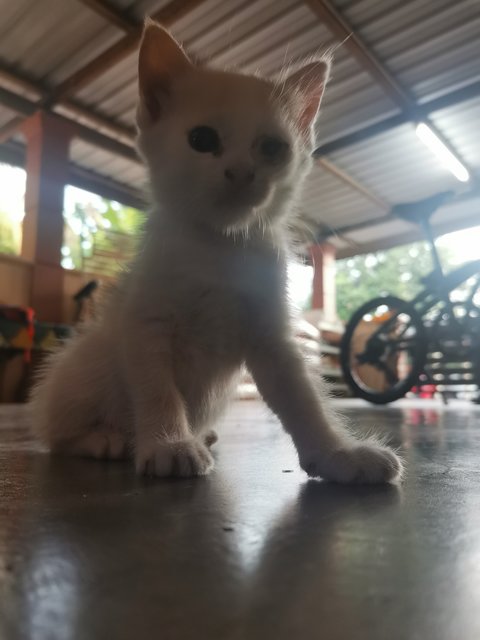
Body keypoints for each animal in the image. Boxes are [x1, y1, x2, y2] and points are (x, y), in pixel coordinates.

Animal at [30, 21, 404, 484]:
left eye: (272, 147)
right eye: (202, 139)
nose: (241, 172)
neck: (220, 247)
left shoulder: (271, 339)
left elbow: (304, 402)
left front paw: (340, 455)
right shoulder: (144, 326)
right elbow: (157, 391)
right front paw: (169, 444)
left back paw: (200, 433)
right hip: (84, 363)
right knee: (54, 430)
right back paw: (106, 438)